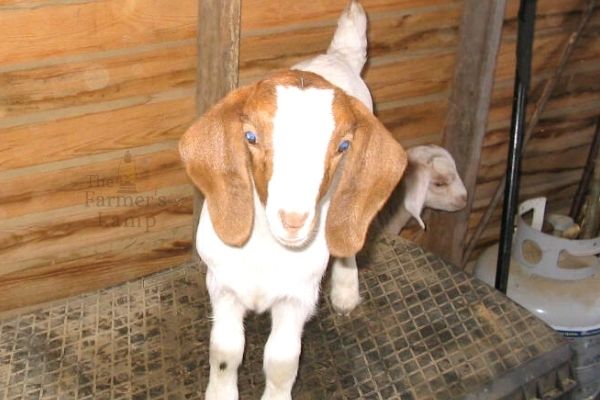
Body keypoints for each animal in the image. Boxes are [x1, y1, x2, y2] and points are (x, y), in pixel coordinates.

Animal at [177, 1, 404, 398]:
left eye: (343, 146)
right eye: (250, 136)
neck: (267, 249)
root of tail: (338, 56)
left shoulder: (298, 297)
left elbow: (282, 362)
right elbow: (225, 351)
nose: (294, 220)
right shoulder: (222, 284)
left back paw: (345, 292)